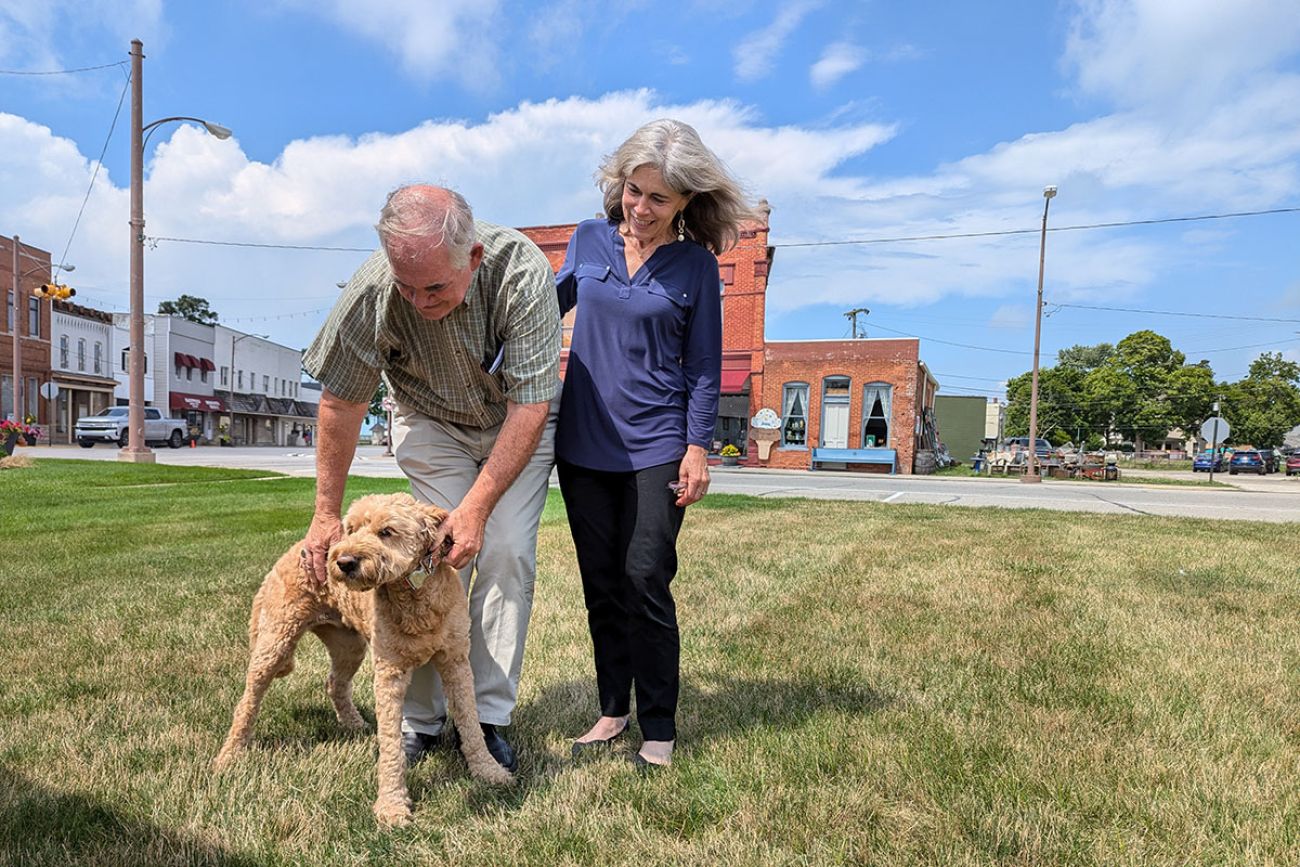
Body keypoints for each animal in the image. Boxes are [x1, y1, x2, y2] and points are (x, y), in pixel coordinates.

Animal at [213, 493, 512, 826]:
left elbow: (471, 722)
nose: (343, 562)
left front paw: (489, 770)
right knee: (247, 702)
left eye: (386, 532)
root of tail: (291, 551)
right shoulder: (390, 670)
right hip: (275, 641)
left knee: (334, 683)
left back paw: (354, 723)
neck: (413, 595)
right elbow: (392, 742)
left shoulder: (456, 660)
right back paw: (229, 756)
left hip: (348, 645)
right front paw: (392, 806)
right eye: (352, 529)